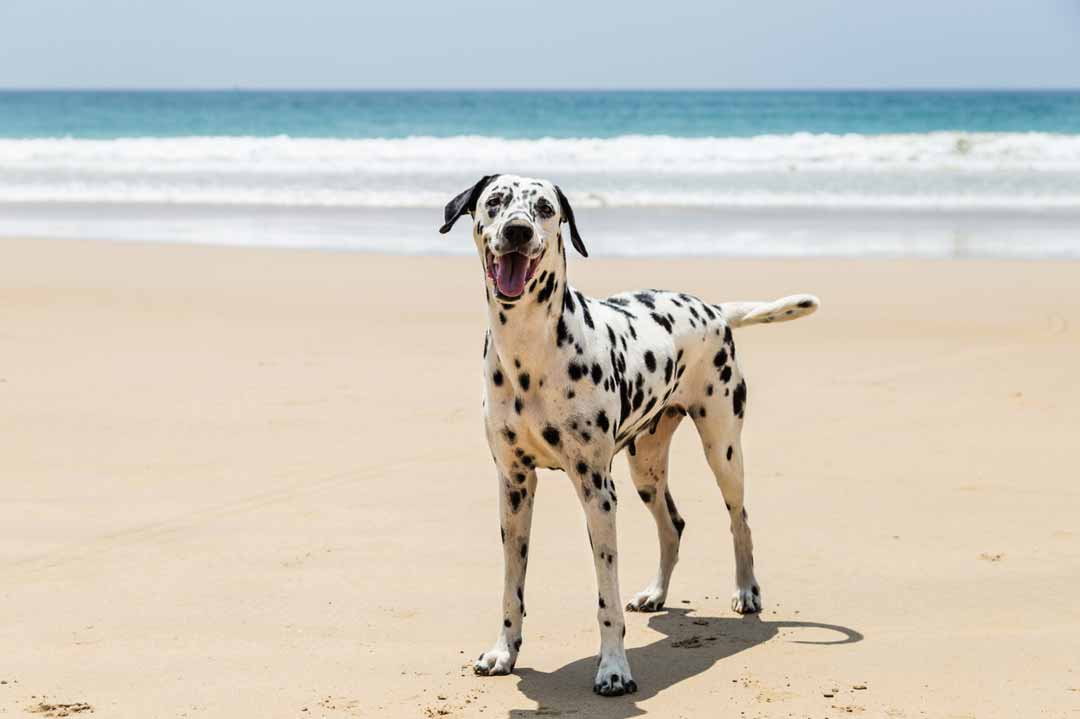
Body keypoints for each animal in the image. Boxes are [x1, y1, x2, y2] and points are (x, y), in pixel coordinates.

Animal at [438, 173, 816, 695]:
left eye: (545, 208)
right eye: (495, 202)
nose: (517, 231)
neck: (530, 351)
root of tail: (713, 308)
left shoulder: (597, 491)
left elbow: (606, 601)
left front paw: (614, 668)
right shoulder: (514, 486)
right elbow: (512, 588)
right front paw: (503, 651)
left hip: (722, 447)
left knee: (740, 518)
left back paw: (745, 590)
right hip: (646, 467)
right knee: (673, 524)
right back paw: (656, 593)